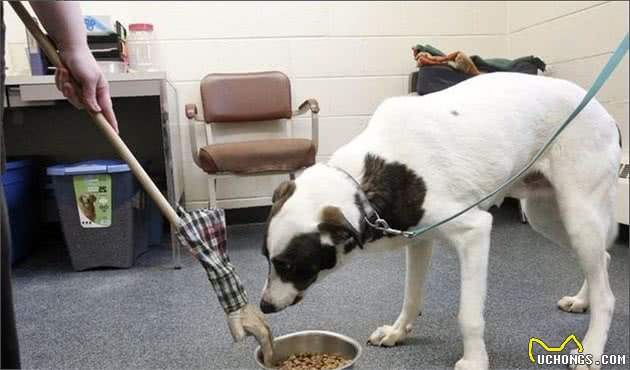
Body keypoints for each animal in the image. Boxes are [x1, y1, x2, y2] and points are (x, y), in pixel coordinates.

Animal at [260, 71, 624, 368]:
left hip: (578, 212)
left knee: (607, 295)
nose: (263, 306)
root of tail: (606, 114)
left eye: (288, 265)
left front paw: (474, 361)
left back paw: (592, 350)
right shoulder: (418, 238)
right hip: (545, 215)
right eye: (265, 258)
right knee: (602, 261)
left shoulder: (475, 232)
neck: (369, 180)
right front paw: (397, 332)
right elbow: (411, 296)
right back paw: (582, 300)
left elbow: (469, 315)